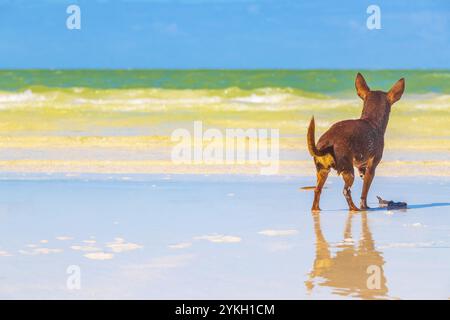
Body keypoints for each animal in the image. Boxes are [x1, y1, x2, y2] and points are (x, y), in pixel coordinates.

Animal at [310, 73, 404, 211]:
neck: (371, 120)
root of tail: (327, 142)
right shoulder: (371, 167)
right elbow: (365, 191)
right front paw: (364, 206)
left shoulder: (361, 167)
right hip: (348, 172)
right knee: (346, 191)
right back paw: (354, 208)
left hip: (323, 171)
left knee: (317, 190)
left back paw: (316, 209)